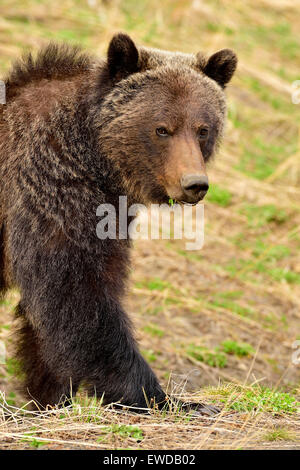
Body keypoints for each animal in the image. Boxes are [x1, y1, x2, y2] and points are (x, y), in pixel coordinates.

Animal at [0, 34, 238, 414]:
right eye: (162, 128)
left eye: (203, 129)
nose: (194, 184)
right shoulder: (48, 185)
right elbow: (77, 294)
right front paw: (163, 397)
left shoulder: (108, 214)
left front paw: (50, 396)